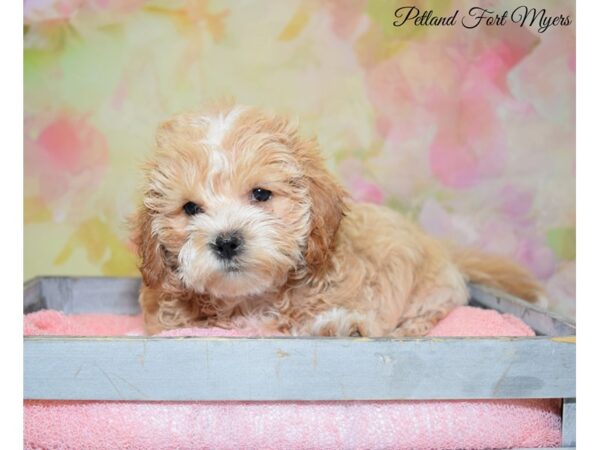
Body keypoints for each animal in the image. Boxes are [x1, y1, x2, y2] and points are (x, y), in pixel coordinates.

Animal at [131, 103, 544, 336]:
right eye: (190, 209)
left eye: (261, 194)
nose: (226, 241)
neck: (252, 300)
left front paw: (341, 327)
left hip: (435, 288)